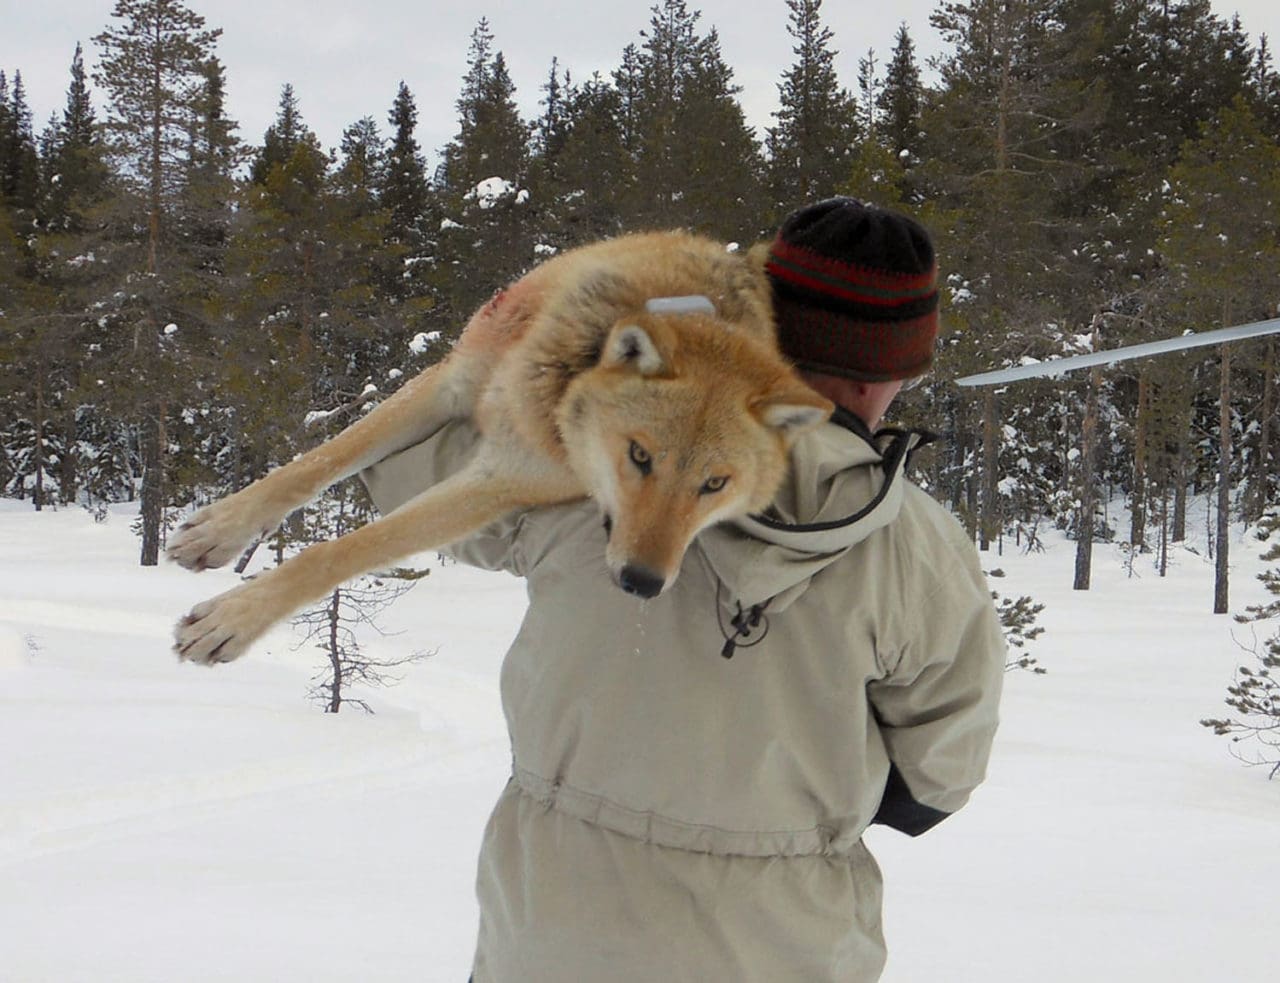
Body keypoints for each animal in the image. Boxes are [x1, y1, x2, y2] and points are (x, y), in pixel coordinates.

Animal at [167, 230, 829, 665]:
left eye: (714, 485)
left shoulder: (502, 476)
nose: (642, 582)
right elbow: (315, 465)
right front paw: (216, 531)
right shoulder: (451, 384)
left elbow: (339, 552)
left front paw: (228, 621)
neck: (564, 371)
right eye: (640, 457)